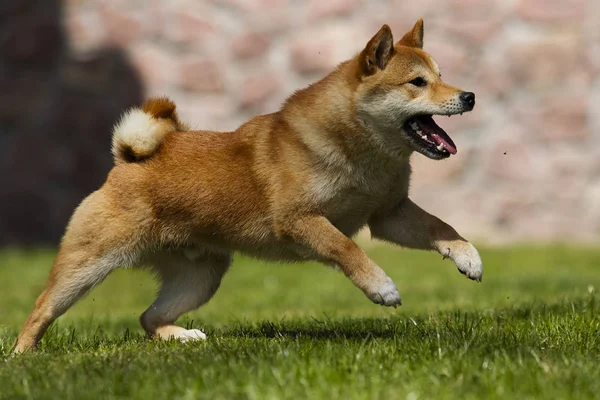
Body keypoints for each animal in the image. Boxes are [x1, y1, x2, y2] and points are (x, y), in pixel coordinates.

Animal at [12, 19, 482, 354]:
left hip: (202, 276)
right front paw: (381, 286)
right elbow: (346, 248)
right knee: (41, 308)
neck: (360, 152)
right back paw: (22, 356)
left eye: (443, 75)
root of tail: (127, 159)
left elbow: (441, 227)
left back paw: (180, 337)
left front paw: (468, 256)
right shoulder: (300, 220)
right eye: (418, 83)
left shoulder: (388, 213)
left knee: (148, 318)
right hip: (87, 264)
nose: (470, 96)